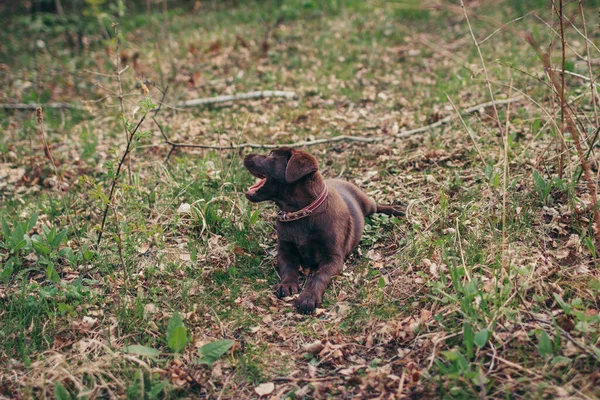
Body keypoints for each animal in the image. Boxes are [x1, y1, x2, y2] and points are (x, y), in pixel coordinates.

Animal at [244, 148, 404, 314]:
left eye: (270, 155)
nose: (245, 155)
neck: (301, 213)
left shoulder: (333, 258)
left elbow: (319, 276)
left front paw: (309, 297)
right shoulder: (285, 251)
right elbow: (288, 268)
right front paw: (287, 285)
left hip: (367, 204)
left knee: (375, 206)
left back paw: (395, 209)